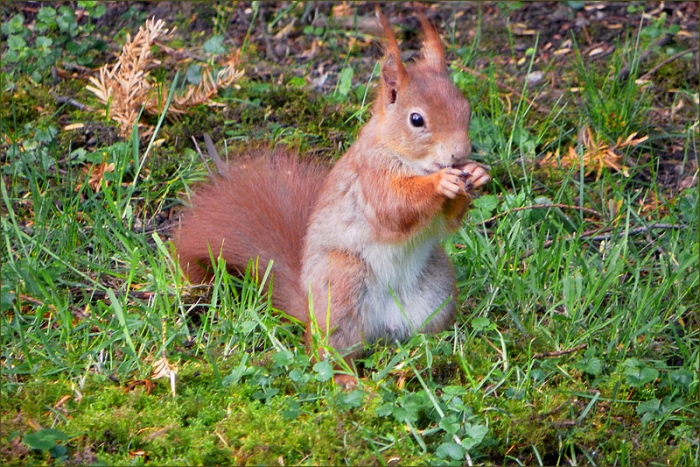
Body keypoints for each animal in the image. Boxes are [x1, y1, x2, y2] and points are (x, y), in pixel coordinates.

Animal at [173, 8, 491, 388]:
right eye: (417, 119)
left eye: (466, 108)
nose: (460, 154)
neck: (403, 155)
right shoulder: (370, 177)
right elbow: (393, 208)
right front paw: (441, 182)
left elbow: (446, 223)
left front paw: (477, 175)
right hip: (342, 286)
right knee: (328, 352)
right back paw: (349, 380)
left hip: (436, 294)